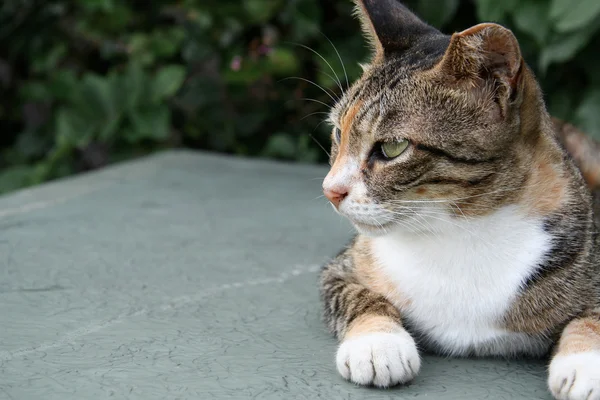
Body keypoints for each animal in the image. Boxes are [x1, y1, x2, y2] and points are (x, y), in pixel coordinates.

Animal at [322, 1, 600, 398]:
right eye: (337, 133)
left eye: (393, 147)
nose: (331, 189)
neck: (460, 229)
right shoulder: (340, 269)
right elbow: (360, 296)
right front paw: (378, 345)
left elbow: (592, 317)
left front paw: (585, 365)